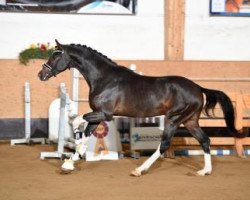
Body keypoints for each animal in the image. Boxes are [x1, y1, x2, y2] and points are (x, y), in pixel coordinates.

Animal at [38, 39, 243, 177]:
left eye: (56, 55)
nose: (41, 74)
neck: (104, 78)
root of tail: (198, 88)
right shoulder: (99, 115)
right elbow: (86, 135)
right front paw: (69, 164)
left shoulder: (104, 114)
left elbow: (78, 121)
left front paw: (75, 148)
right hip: (190, 121)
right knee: (205, 140)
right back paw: (204, 171)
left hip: (174, 119)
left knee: (164, 145)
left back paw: (139, 170)